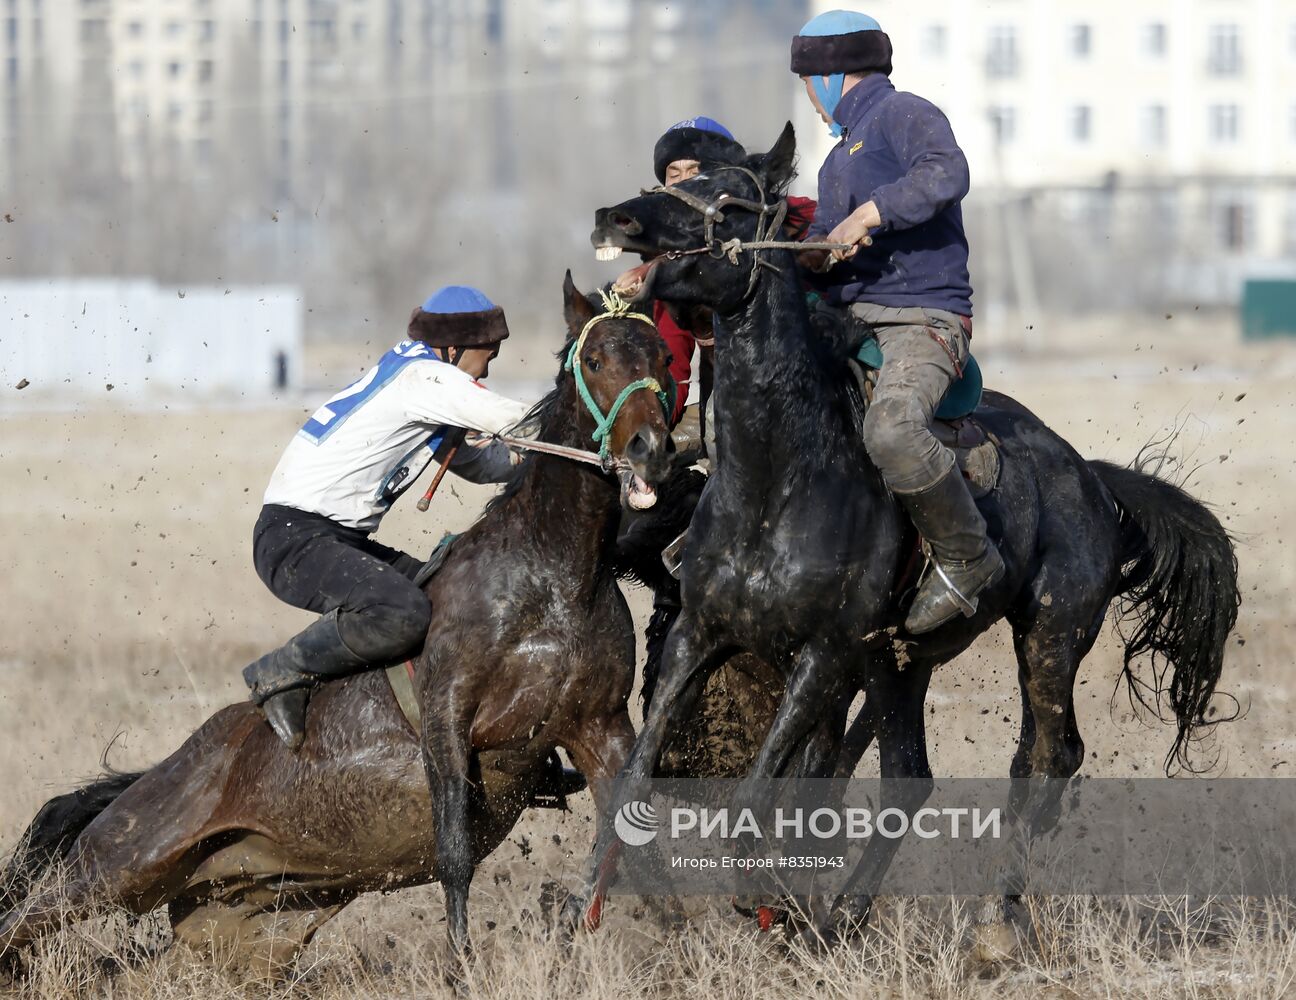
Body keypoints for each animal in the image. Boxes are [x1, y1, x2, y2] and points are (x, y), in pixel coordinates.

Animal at [2, 273, 679, 974]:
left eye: (664, 358)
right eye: (594, 359)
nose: (650, 450)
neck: (553, 576)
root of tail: (156, 773)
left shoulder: (601, 726)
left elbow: (640, 846)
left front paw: (686, 952)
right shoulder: (448, 719)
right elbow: (455, 856)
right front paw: (461, 968)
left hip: (240, 925)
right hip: (117, 865)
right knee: (23, 918)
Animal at [583, 121, 1238, 943]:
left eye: (728, 199)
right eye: (678, 181)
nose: (615, 217)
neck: (777, 483)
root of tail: (1088, 475)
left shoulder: (823, 655)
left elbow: (761, 793)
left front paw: (761, 893)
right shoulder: (699, 636)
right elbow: (640, 777)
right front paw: (590, 903)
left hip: (1050, 635)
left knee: (1048, 756)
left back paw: (997, 922)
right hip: (902, 664)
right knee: (911, 780)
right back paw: (843, 913)